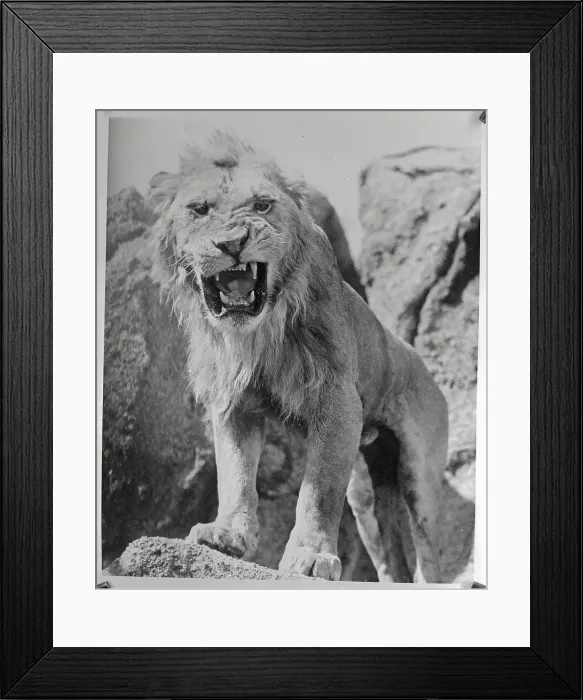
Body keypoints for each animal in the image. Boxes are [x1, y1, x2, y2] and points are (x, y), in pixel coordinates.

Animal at [148, 131, 448, 582]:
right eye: (199, 209)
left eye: (262, 205)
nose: (232, 243)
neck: (256, 333)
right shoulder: (233, 404)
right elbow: (234, 475)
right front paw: (226, 534)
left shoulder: (336, 398)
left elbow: (318, 491)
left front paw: (310, 555)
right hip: (365, 494)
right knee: (389, 558)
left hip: (420, 476)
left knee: (429, 553)